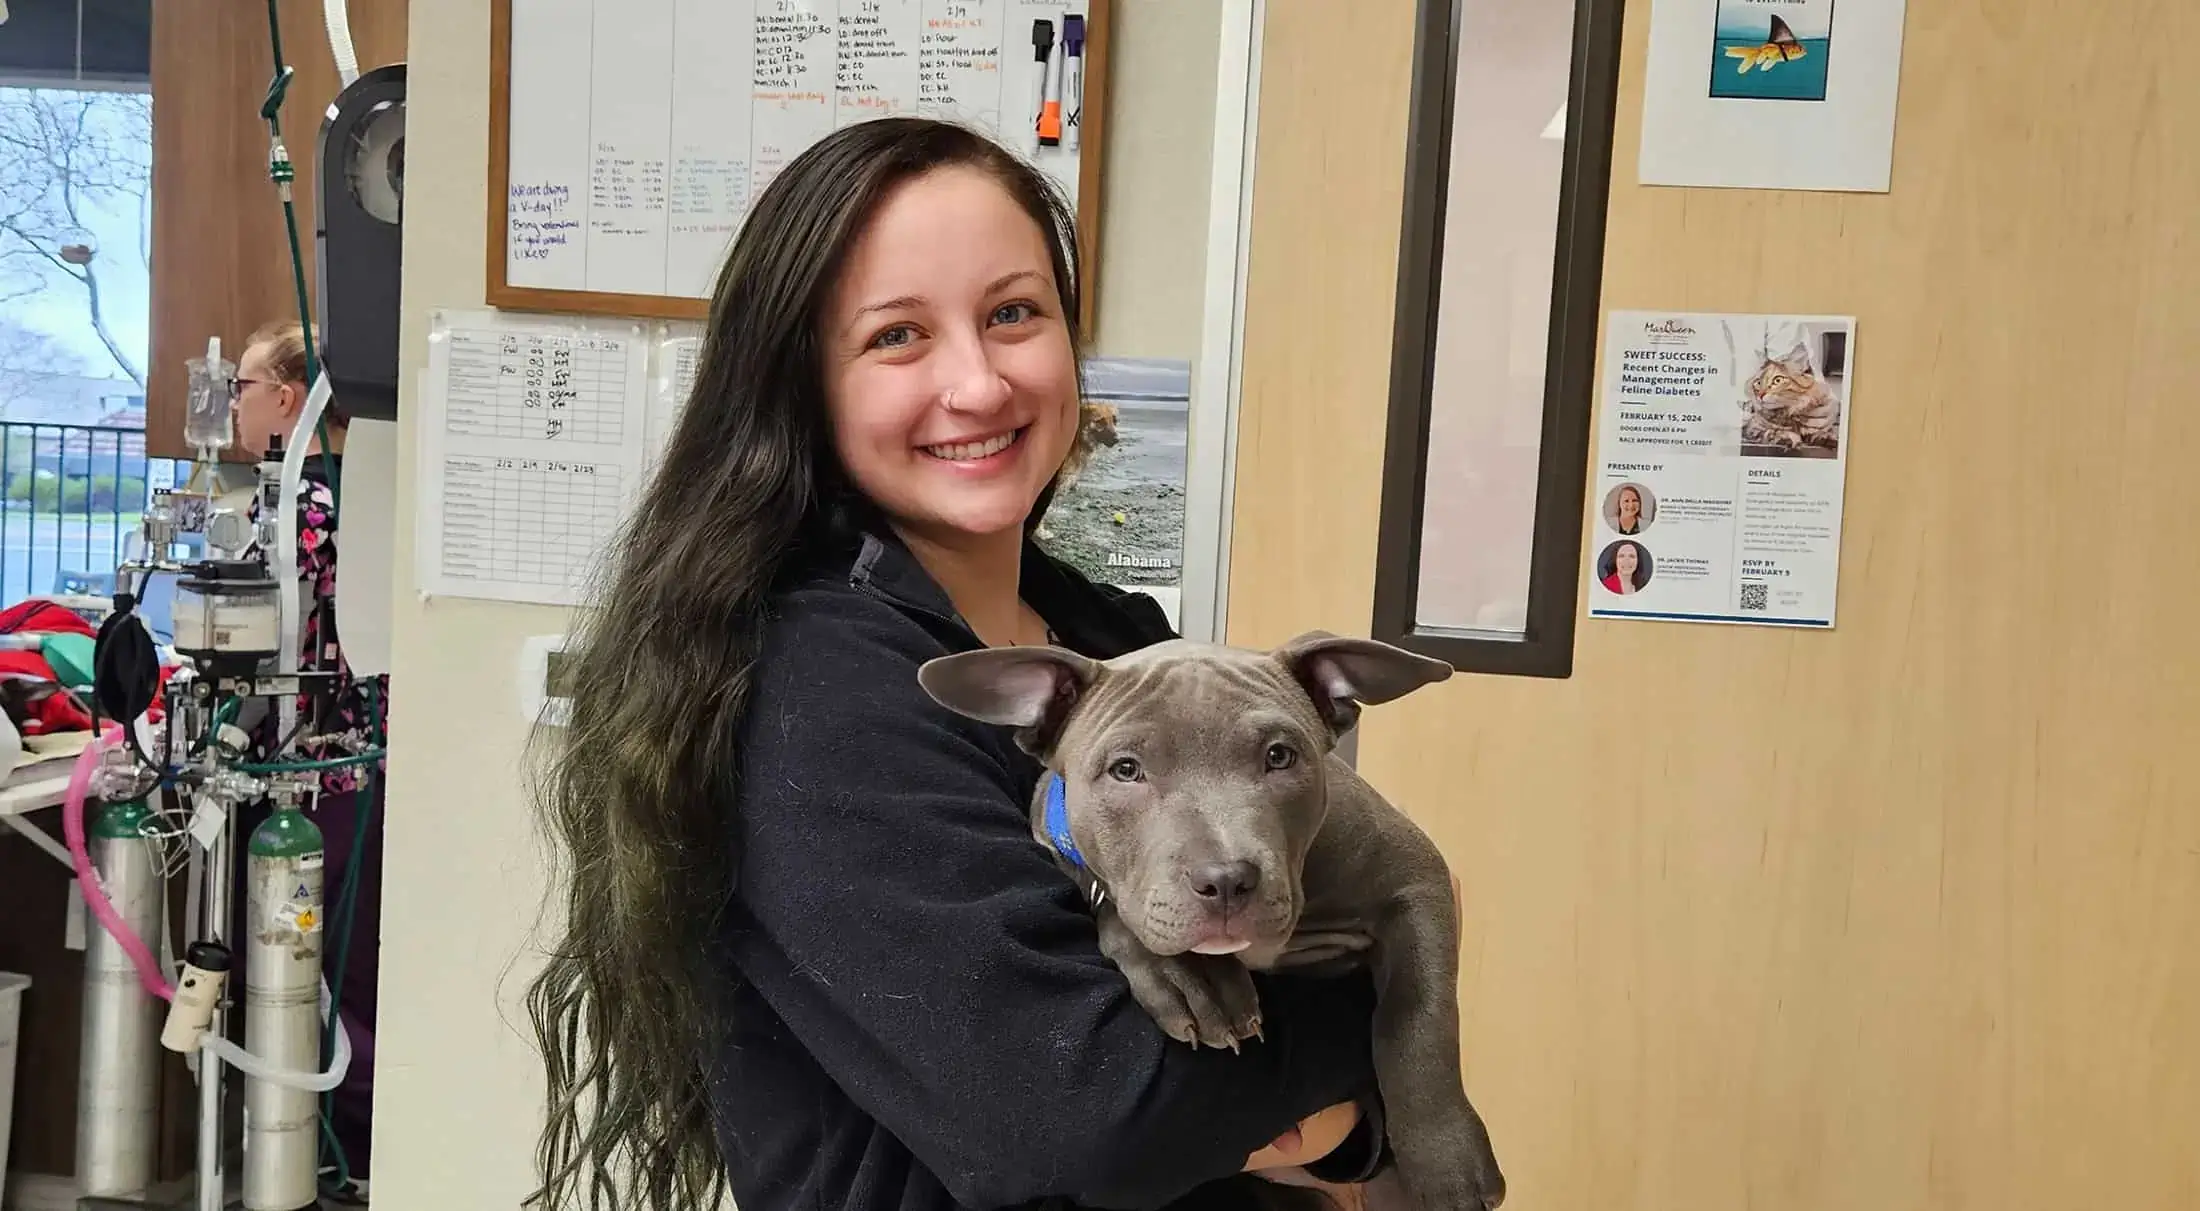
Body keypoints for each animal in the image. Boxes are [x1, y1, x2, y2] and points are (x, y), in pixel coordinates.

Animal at [919, 629, 1504, 1206]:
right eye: (1125, 769)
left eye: (1280, 756)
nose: (1226, 880)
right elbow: (1118, 908)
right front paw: (1192, 977)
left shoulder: (1414, 877)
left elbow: (1416, 1016)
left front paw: (1448, 1167)